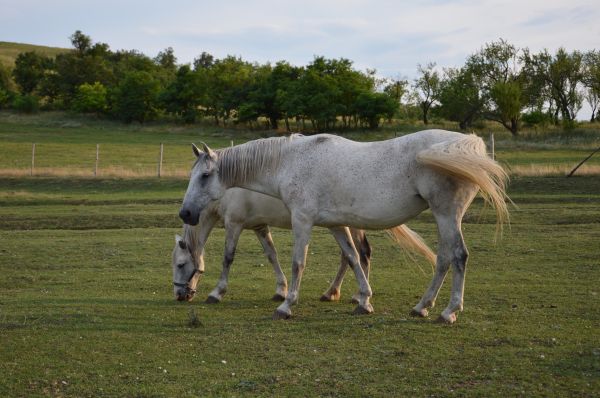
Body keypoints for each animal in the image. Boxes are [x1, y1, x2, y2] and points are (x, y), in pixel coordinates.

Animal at [173, 188, 436, 304]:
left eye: (180, 264)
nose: (179, 294)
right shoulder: (259, 227)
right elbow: (272, 255)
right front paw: (281, 289)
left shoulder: (234, 225)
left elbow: (228, 257)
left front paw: (217, 292)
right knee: (349, 256)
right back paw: (334, 292)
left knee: (361, 254)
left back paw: (356, 295)